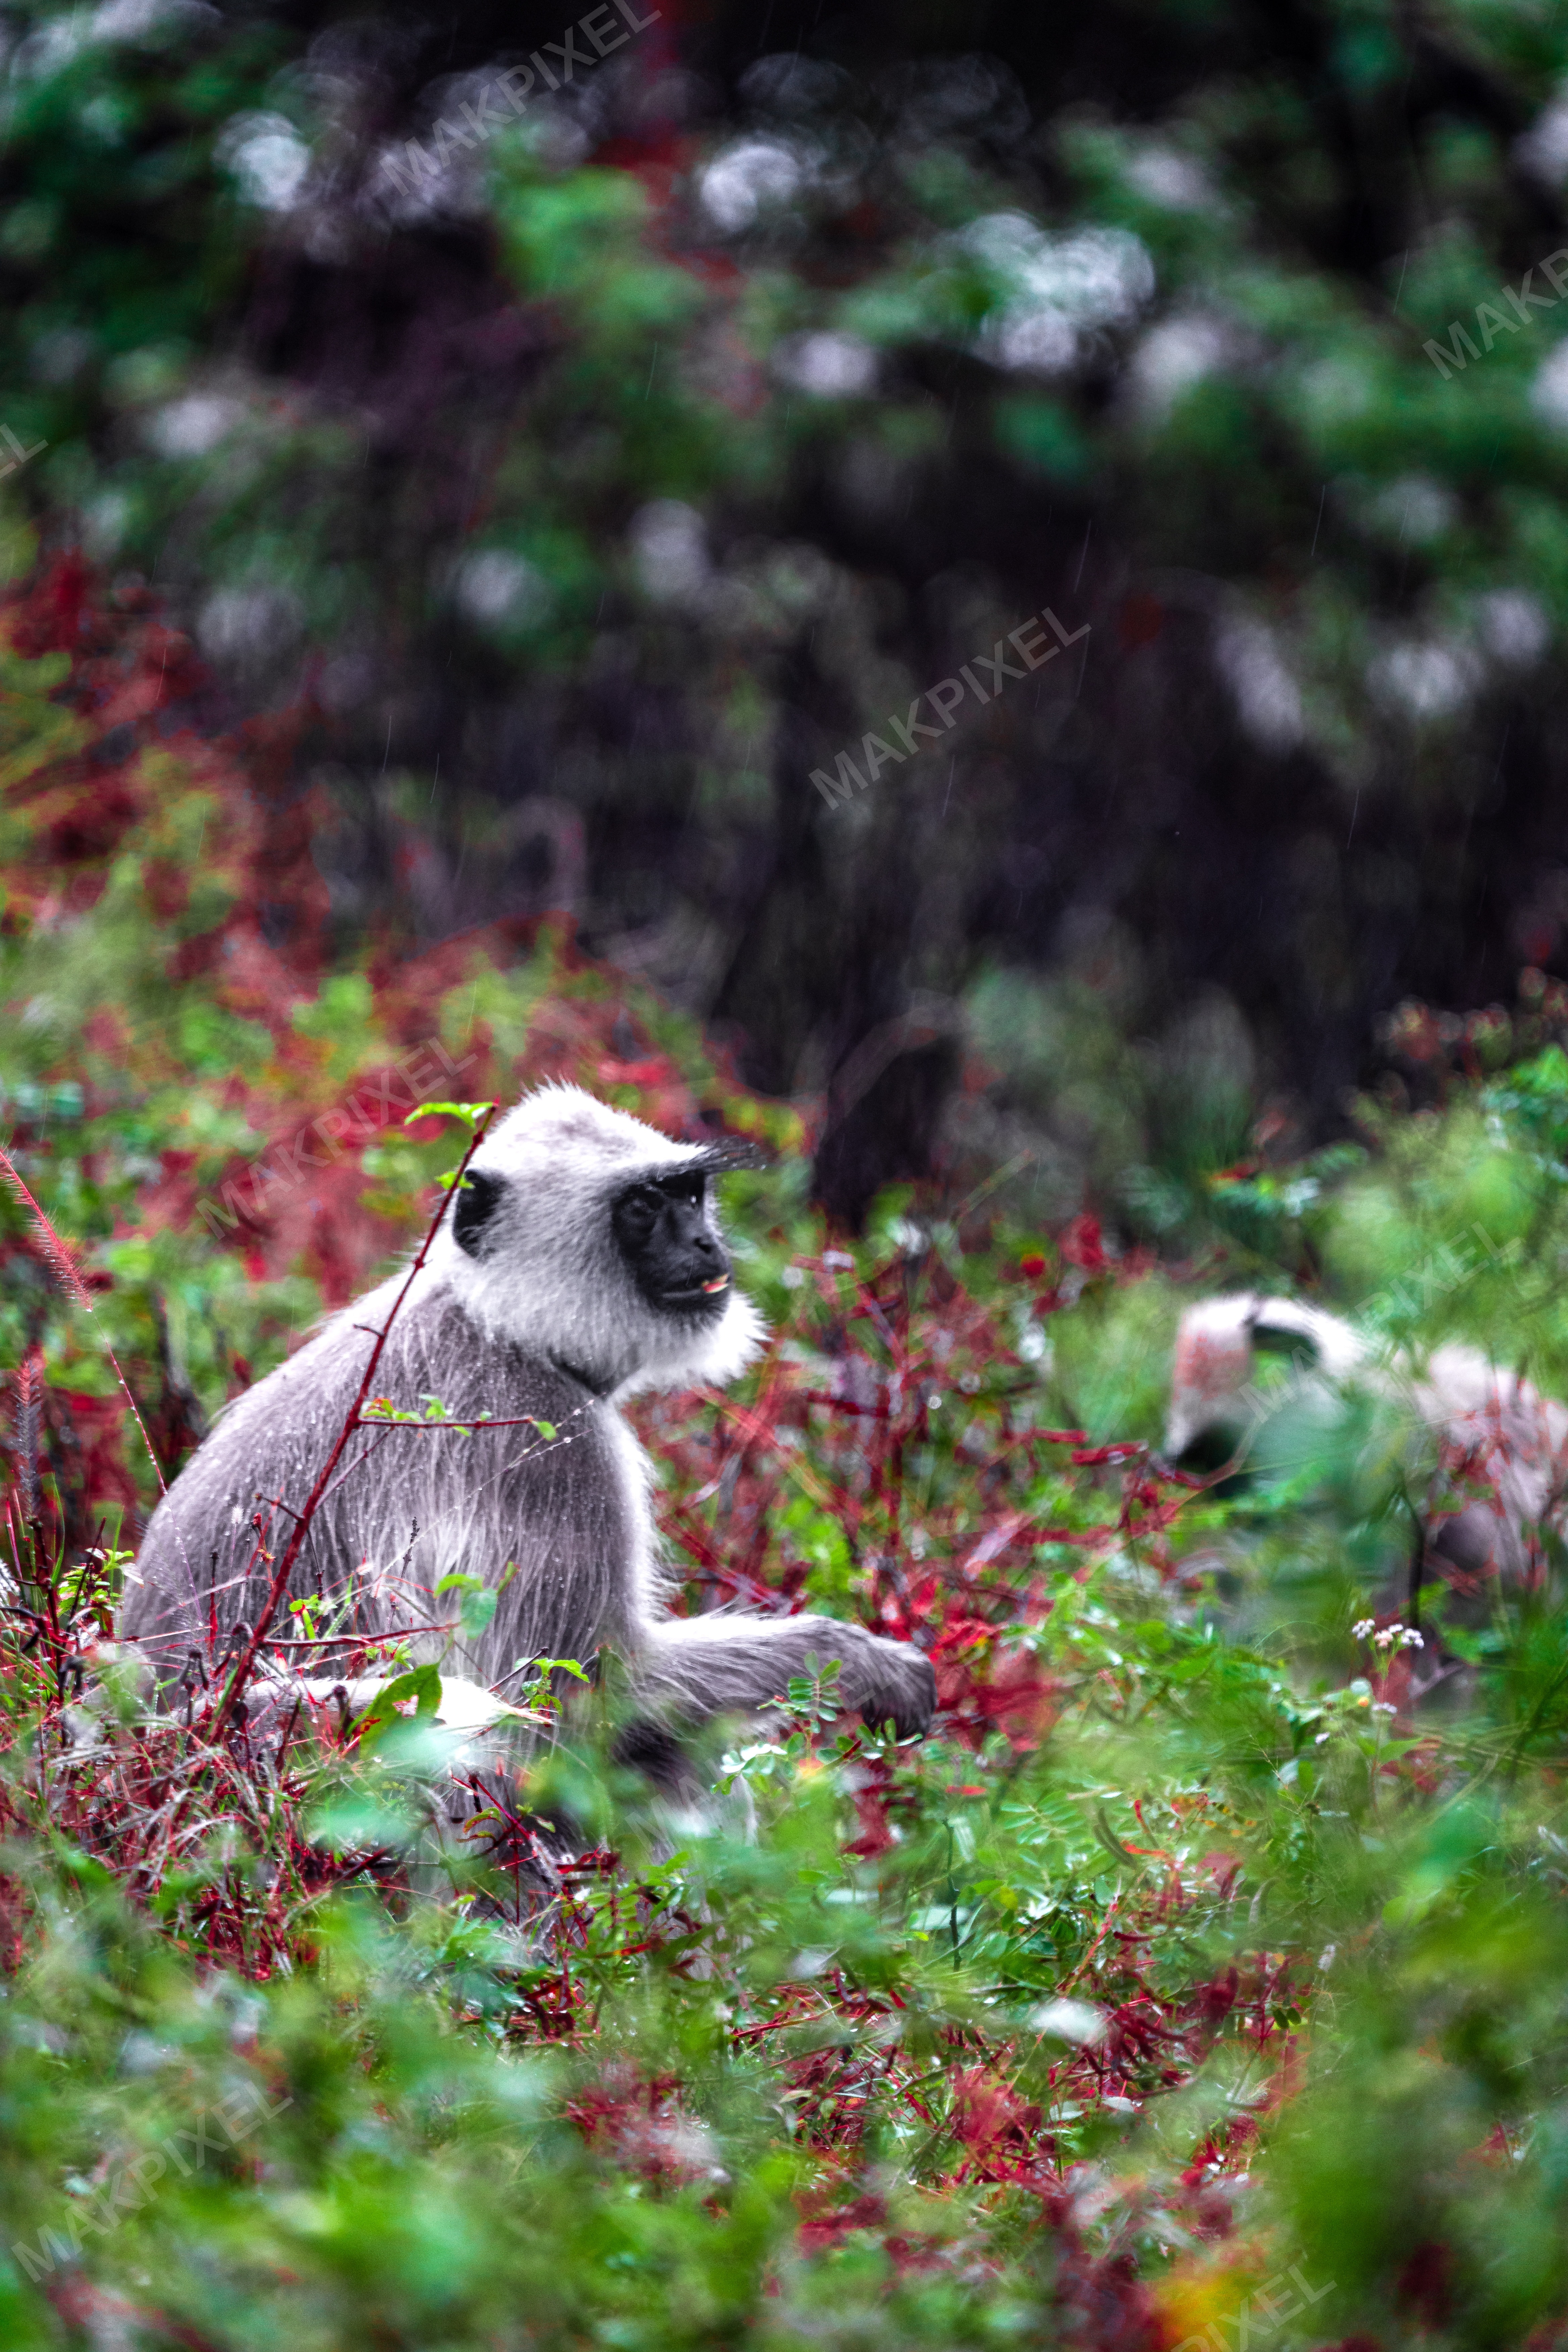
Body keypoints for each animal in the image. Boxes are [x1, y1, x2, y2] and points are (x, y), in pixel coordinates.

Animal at [121, 1086, 936, 1776]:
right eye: (643, 1206)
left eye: (689, 1194)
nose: (707, 1246)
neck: (499, 1322)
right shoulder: (553, 1443)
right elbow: (586, 1694)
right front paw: (862, 1661)